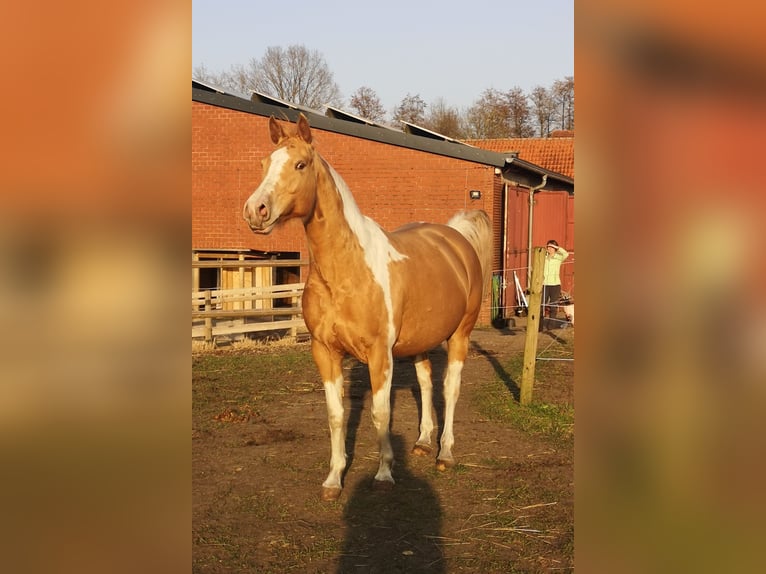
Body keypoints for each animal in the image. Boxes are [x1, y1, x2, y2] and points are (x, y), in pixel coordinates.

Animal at [243, 113, 496, 504]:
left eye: (300, 164)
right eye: (263, 164)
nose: (256, 211)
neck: (346, 272)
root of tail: (455, 237)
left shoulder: (380, 353)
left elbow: (381, 413)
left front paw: (384, 474)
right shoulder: (324, 351)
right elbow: (336, 415)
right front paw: (333, 479)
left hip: (460, 335)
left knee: (450, 388)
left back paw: (445, 453)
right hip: (421, 340)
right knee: (425, 381)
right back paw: (424, 442)